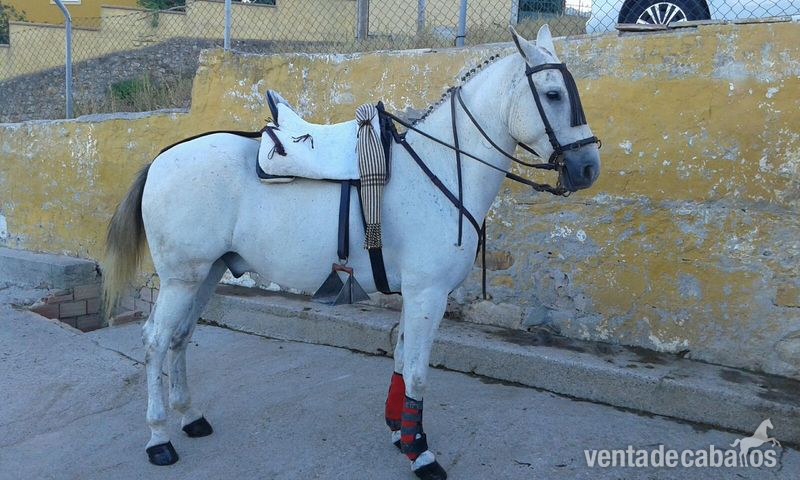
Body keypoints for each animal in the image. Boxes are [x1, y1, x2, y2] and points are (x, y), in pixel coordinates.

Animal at [103, 25, 601, 479]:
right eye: (553, 94)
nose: (588, 168)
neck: (439, 168)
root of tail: (161, 158)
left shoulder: (415, 294)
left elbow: (401, 359)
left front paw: (401, 432)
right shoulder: (428, 293)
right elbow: (418, 371)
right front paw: (421, 453)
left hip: (205, 274)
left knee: (180, 338)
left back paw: (190, 416)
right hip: (182, 278)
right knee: (156, 340)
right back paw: (159, 438)